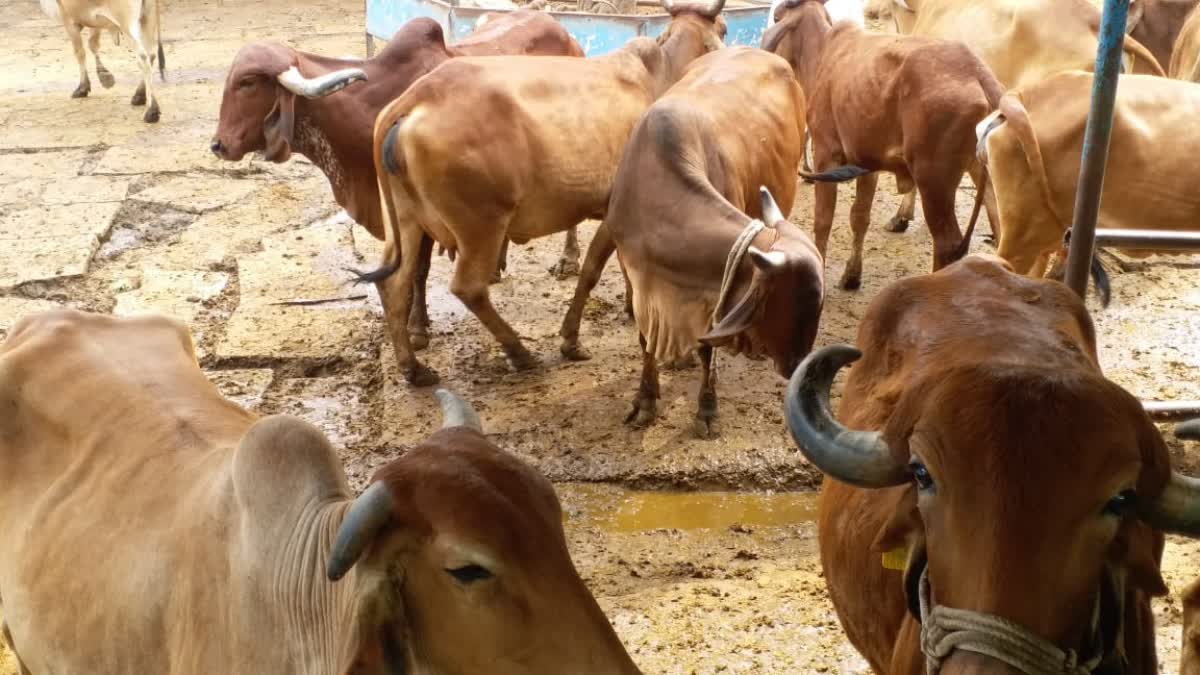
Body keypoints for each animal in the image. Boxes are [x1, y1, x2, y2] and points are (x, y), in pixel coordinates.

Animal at [209, 14, 586, 349]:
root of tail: (562, 30)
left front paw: (417, 328)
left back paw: (568, 259)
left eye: (247, 83)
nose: (218, 145)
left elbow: (418, 270)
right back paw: (495, 266)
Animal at [366, 0, 729, 386]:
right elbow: (591, 272)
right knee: (468, 288)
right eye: (722, 29)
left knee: (394, 286)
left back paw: (414, 367)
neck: (659, 75)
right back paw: (519, 352)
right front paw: (571, 340)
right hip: (482, 224)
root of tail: (414, 98)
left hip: (406, 221)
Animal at [559, 47, 821, 437]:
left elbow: (706, 346)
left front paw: (707, 410)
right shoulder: (640, 279)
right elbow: (647, 339)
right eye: (796, 303)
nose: (797, 366)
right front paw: (646, 400)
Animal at [763, 0, 998, 289]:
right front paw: (852, 275)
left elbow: (823, 220)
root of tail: (976, 71)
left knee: (947, 244)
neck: (822, 52)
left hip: (934, 179)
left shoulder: (826, 152)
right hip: (980, 171)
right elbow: (860, 217)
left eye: (776, 17)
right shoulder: (866, 163)